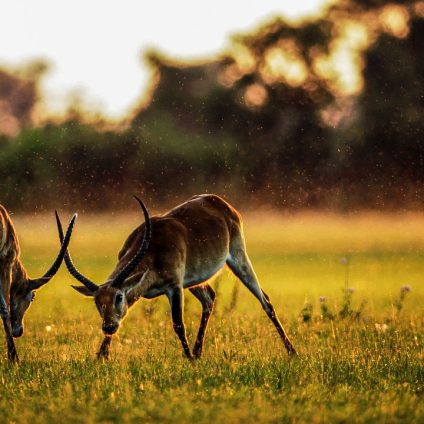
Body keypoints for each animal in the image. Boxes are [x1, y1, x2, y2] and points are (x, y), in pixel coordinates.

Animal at [55, 195, 294, 358]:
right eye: (97, 301)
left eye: (118, 297)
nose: (108, 327)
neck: (153, 247)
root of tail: (220, 202)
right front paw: (101, 356)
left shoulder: (175, 286)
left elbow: (178, 324)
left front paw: (188, 359)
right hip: (195, 280)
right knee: (210, 298)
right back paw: (198, 353)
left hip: (238, 258)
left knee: (265, 300)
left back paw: (291, 351)